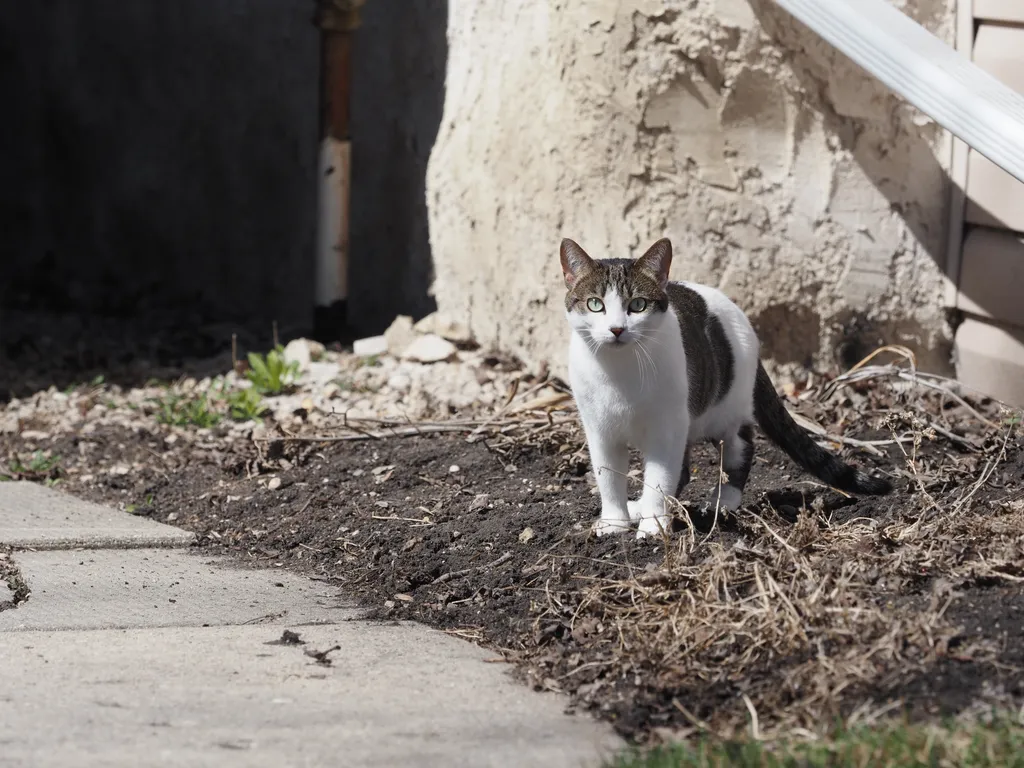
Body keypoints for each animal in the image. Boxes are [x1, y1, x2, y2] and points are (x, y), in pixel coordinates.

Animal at [557, 237, 892, 536]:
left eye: (637, 305)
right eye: (595, 304)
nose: (616, 329)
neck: (619, 370)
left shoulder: (667, 427)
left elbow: (660, 477)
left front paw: (653, 527)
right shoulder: (600, 429)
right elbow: (608, 477)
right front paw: (615, 523)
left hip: (724, 411)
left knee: (740, 447)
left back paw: (724, 502)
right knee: (685, 469)